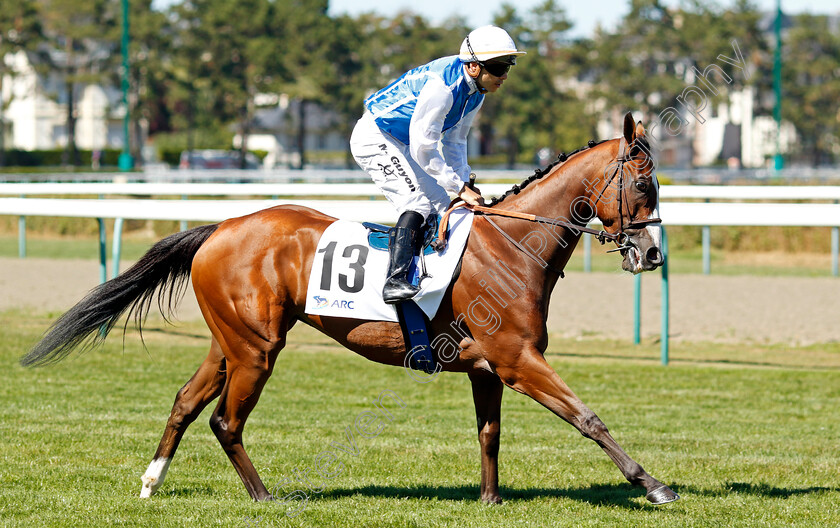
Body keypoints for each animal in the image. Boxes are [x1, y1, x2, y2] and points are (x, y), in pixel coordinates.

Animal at [19, 113, 680, 506]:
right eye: (644, 185)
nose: (651, 253)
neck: (512, 245)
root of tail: (221, 227)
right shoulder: (518, 359)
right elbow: (588, 417)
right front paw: (652, 485)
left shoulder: (489, 367)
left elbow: (489, 434)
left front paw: (490, 501)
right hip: (257, 349)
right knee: (226, 421)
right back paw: (265, 497)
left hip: (230, 341)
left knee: (186, 401)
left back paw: (152, 480)